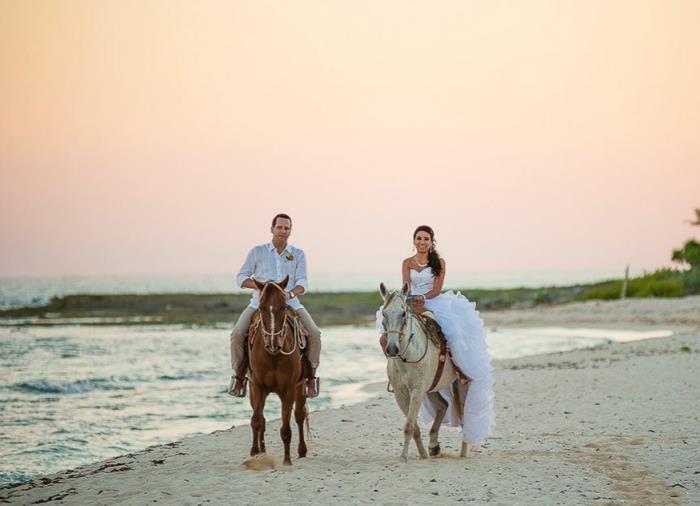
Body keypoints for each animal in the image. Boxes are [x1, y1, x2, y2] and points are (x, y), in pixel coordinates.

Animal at [249, 276, 308, 466]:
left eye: (283, 306)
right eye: (261, 307)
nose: (273, 344)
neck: (272, 355)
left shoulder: (288, 390)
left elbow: (286, 428)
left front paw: (287, 461)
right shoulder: (257, 387)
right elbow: (257, 421)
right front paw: (255, 454)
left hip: (301, 387)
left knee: (299, 416)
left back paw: (302, 451)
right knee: (261, 419)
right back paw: (262, 451)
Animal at [380, 282, 468, 464]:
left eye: (403, 313)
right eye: (384, 314)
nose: (392, 349)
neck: (407, 356)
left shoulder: (417, 391)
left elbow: (408, 426)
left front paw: (403, 457)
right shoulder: (401, 394)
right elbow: (414, 427)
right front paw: (422, 454)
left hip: (458, 385)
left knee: (463, 416)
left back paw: (464, 452)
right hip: (431, 388)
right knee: (443, 406)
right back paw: (433, 447)